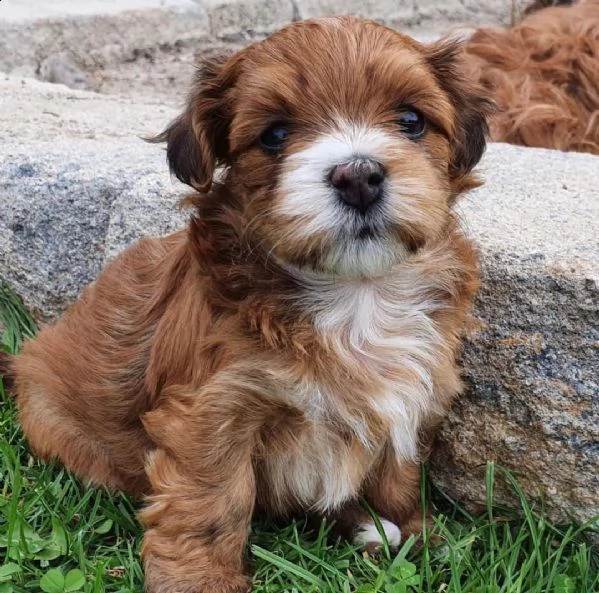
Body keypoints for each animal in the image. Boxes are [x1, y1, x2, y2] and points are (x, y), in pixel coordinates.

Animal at [9, 17, 492, 592]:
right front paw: (199, 580)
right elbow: (211, 499)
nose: (358, 175)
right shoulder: (213, 408)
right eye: (275, 135)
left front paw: (411, 530)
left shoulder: (416, 386)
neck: (356, 292)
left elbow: (397, 470)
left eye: (412, 121)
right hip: (51, 417)